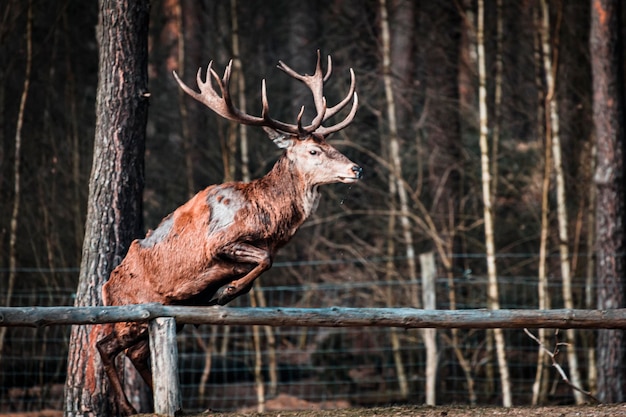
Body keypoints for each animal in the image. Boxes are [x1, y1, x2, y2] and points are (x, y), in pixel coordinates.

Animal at [96, 52, 360, 416]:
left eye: (329, 144)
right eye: (313, 151)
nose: (356, 168)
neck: (269, 219)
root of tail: (105, 288)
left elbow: (264, 263)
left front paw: (222, 292)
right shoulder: (220, 241)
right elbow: (264, 260)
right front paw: (226, 292)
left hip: (155, 312)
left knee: (135, 351)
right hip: (131, 310)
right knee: (105, 345)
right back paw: (128, 407)